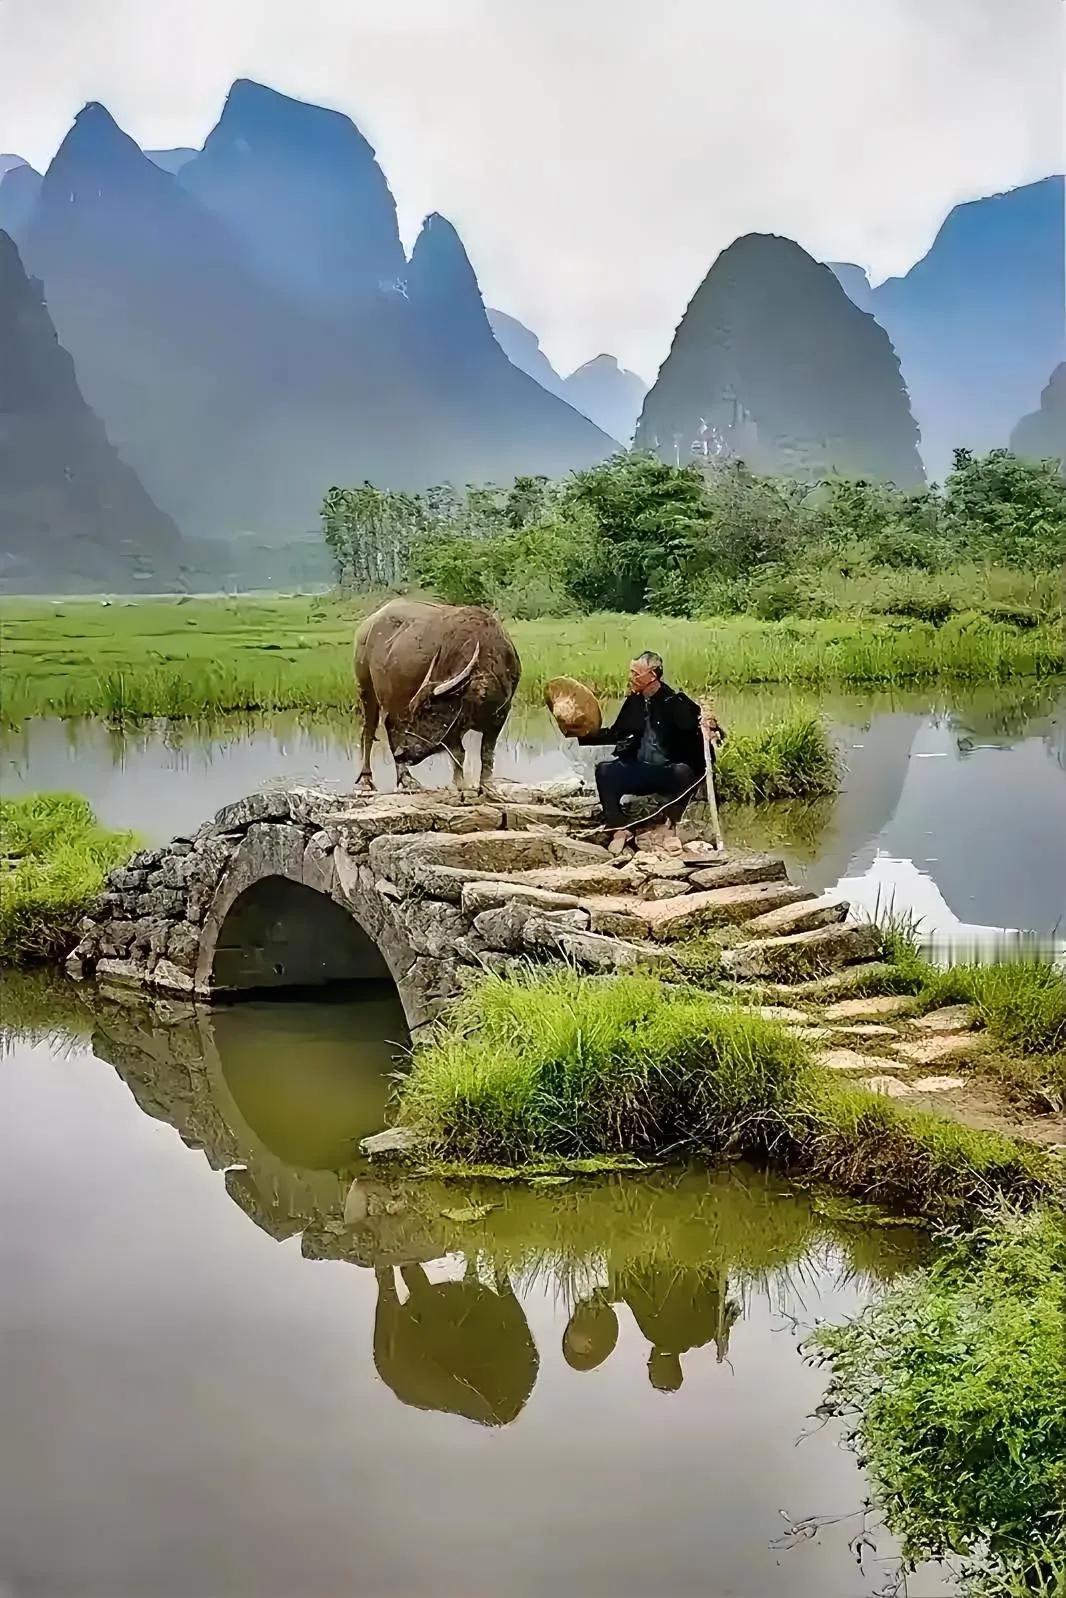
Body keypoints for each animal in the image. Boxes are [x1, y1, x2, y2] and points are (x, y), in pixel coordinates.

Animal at [354, 597, 521, 789]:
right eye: (421, 712)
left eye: (429, 711)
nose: (402, 753)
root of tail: (366, 627)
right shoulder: (452, 729)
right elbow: (459, 754)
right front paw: (459, 783)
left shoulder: (500, 716)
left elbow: (486, 753)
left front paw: (486, 784)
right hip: (367, 690)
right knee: (368, 731)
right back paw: (368, 777)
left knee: (390, 726)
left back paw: (405, 777)